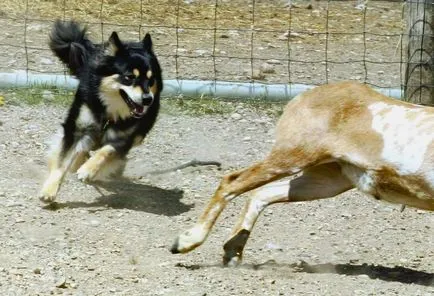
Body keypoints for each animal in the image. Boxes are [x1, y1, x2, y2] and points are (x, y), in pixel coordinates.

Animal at [39, 19, 163, 202]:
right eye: (129, 77)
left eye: (151, 79)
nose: (148, 99)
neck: (109, 112)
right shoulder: (76, 128)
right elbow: (63, 161)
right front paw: (49, 190)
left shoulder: (124, 138)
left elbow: (107, 151)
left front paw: (88, 170)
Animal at [170, 81, 434, 266]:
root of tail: (302, 97)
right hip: (291, 157)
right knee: (232, 182)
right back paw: (185, 242)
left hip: (328, 181)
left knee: (262, 194)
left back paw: (232, 252)